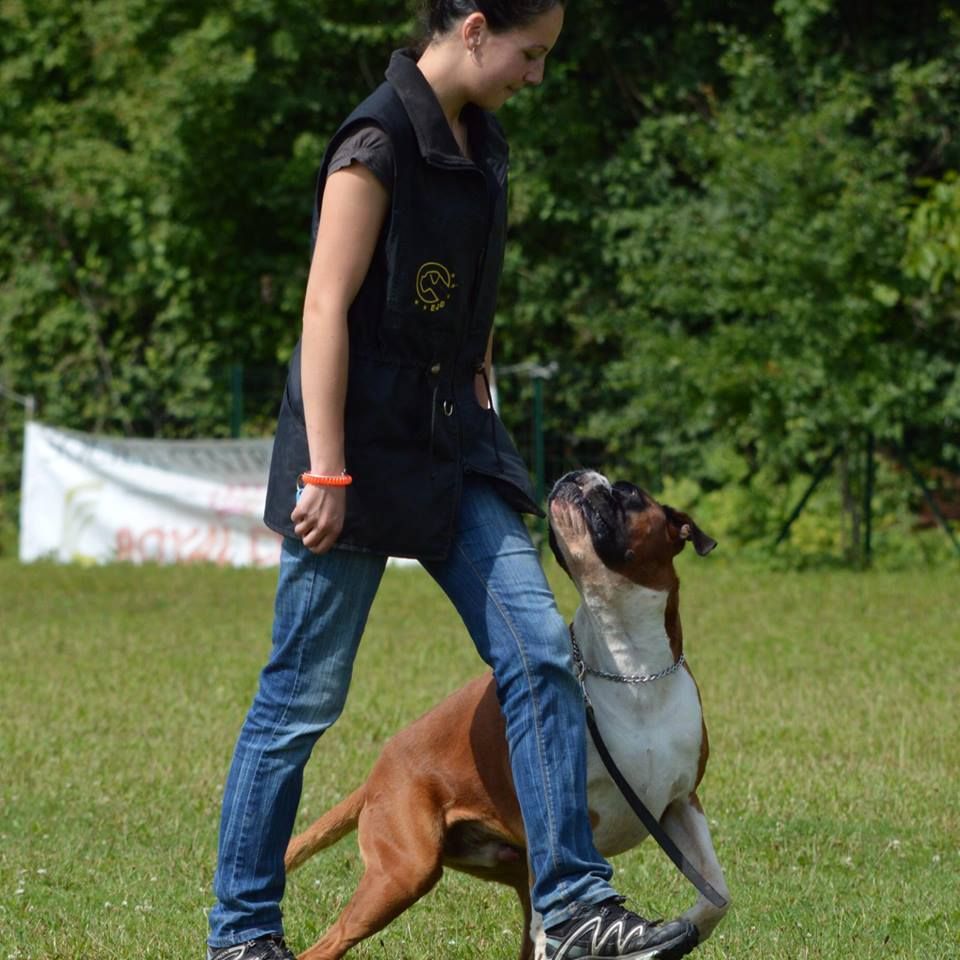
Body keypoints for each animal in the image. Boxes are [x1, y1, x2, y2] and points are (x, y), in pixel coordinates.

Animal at [284, 472, 728, 960]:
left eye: (628, 492)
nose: (576, 476)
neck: (630, 668)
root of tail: (377, 774)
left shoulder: (680, 803)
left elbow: (716, 896)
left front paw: (677, 931)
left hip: (497, 868)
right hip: (403, 873)